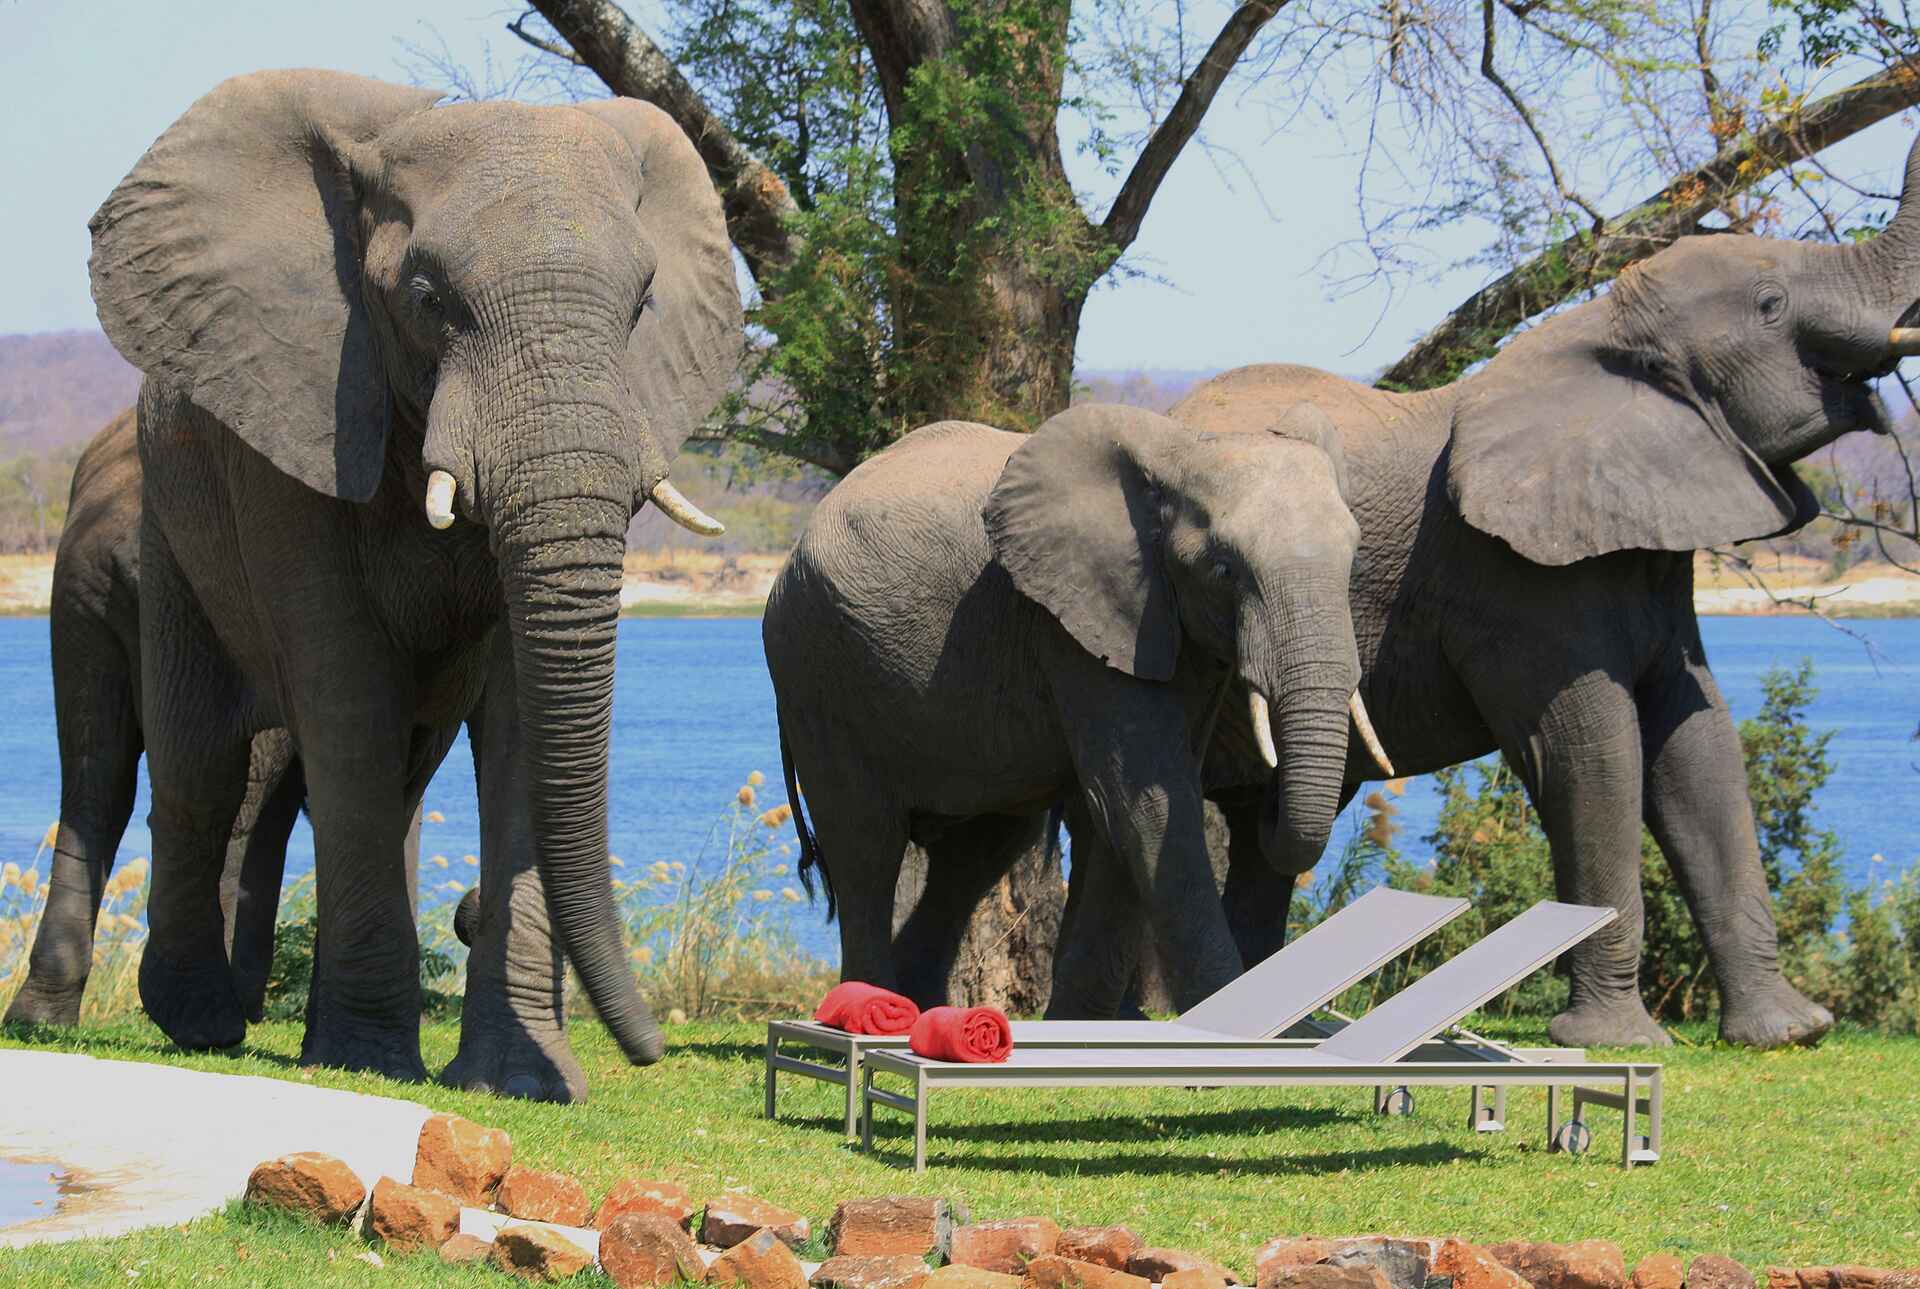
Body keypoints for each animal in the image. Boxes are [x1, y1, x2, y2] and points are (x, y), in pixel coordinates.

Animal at [85, 69, 742, 1097]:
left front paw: (516, 1079)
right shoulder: (299, 427)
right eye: (429, 297)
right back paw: (202, 1021)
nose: (652, 1048)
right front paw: (368, 1059)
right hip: (173, 516)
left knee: (391, 777)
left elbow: (519, 714)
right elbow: (347, 691)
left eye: (642, 305)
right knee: (203, 762)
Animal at [764, 404, 1393, 1013]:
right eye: (1224, 569)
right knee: (865, 847)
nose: (1266, 796)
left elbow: (1124, 815)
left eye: (1354, 560)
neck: (1185, 448)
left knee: (979, 851)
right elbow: (1147, 804)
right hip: (814, 669)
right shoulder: (1074, 624)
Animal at [1124, 134, 1920, 1049]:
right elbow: (1594, 752)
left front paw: (1787, 1033)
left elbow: (1701, 746)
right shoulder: (1512, 579)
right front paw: (1614, 1043)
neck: (1601, 332)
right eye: (1770, 303)